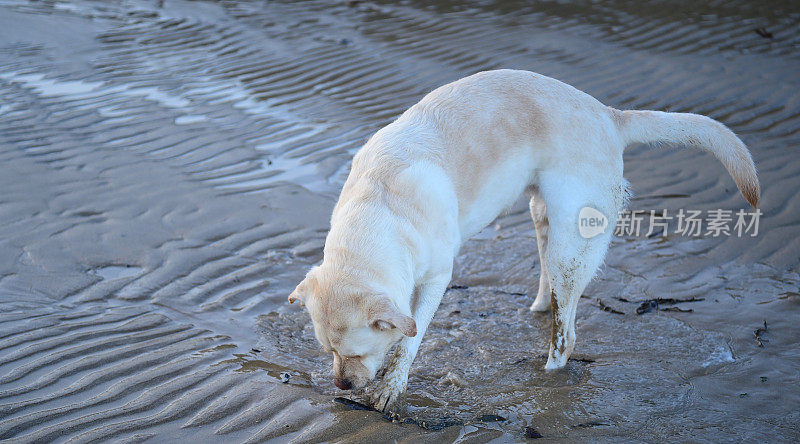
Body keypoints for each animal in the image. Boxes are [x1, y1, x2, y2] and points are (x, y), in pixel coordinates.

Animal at [286, 67, 756, 412]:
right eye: (326, 350)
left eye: (357, 352)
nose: (341, 385)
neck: (380, 207)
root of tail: (608, 115)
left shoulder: (437, 278)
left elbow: (409, 340)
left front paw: (392, 386)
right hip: (542, 217)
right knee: (550, 282)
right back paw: (538, 307)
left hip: (573, 241)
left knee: (566, 336)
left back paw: (544, 376)